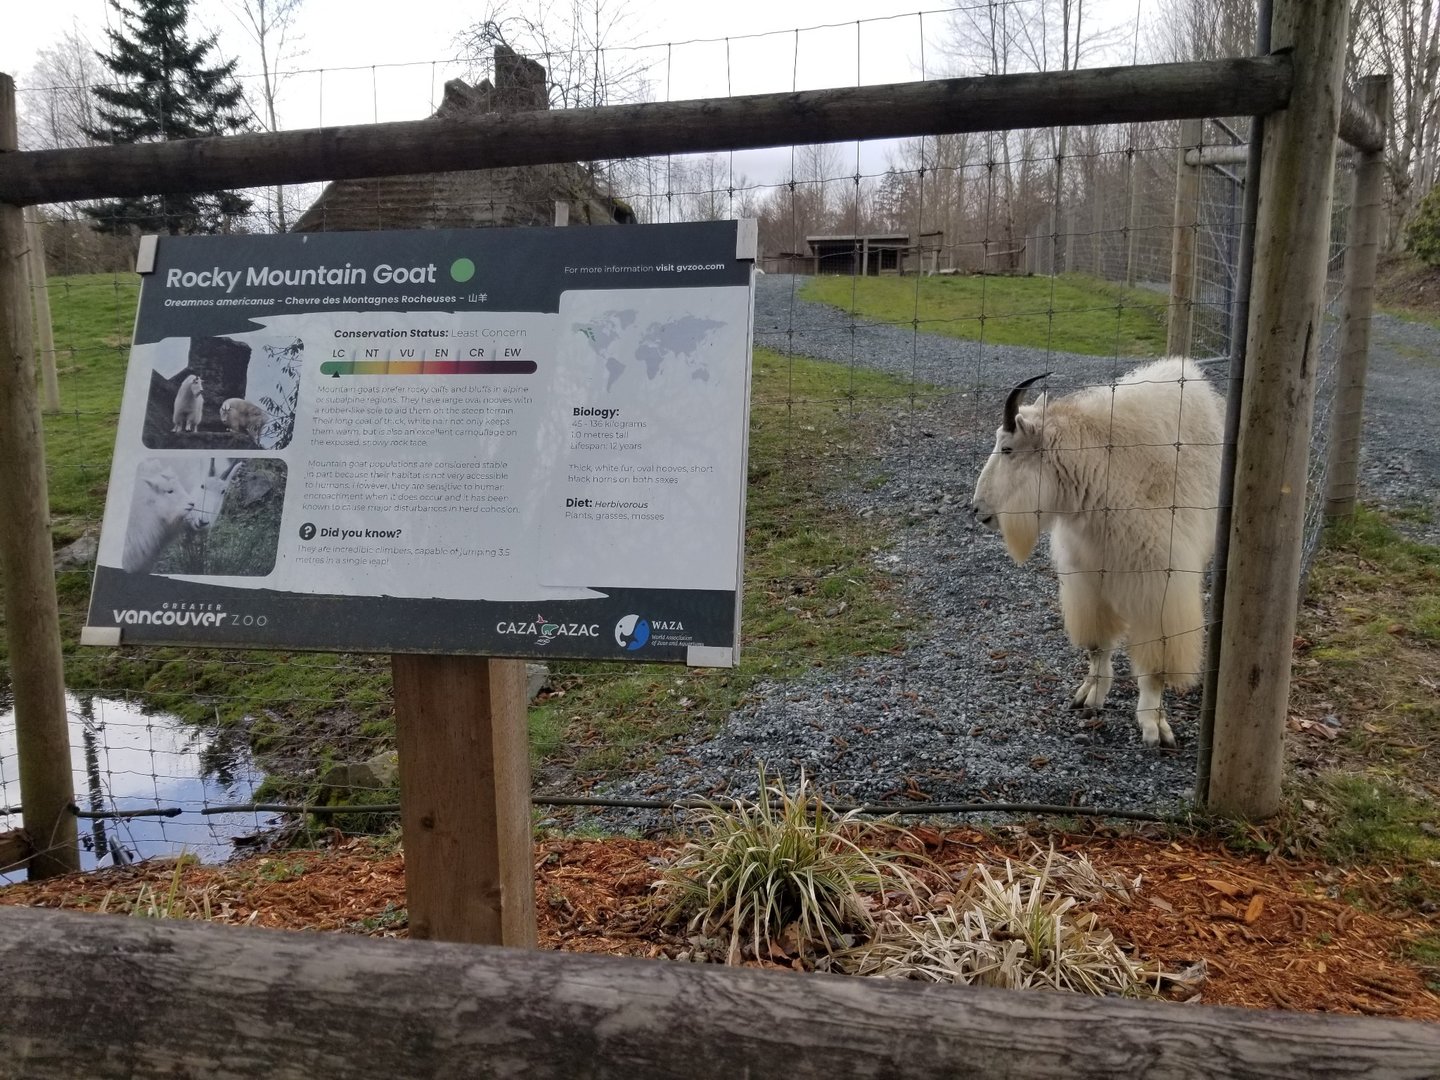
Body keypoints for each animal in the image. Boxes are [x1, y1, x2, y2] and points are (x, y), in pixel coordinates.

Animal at [968, 358, 1223, 748]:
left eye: (1008, 449)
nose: (977, 510)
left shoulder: (1160, 589)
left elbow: (1156, 665)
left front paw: (1154, 725)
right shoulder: (1087, 582)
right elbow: (1097, 645)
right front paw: (1090, 694)